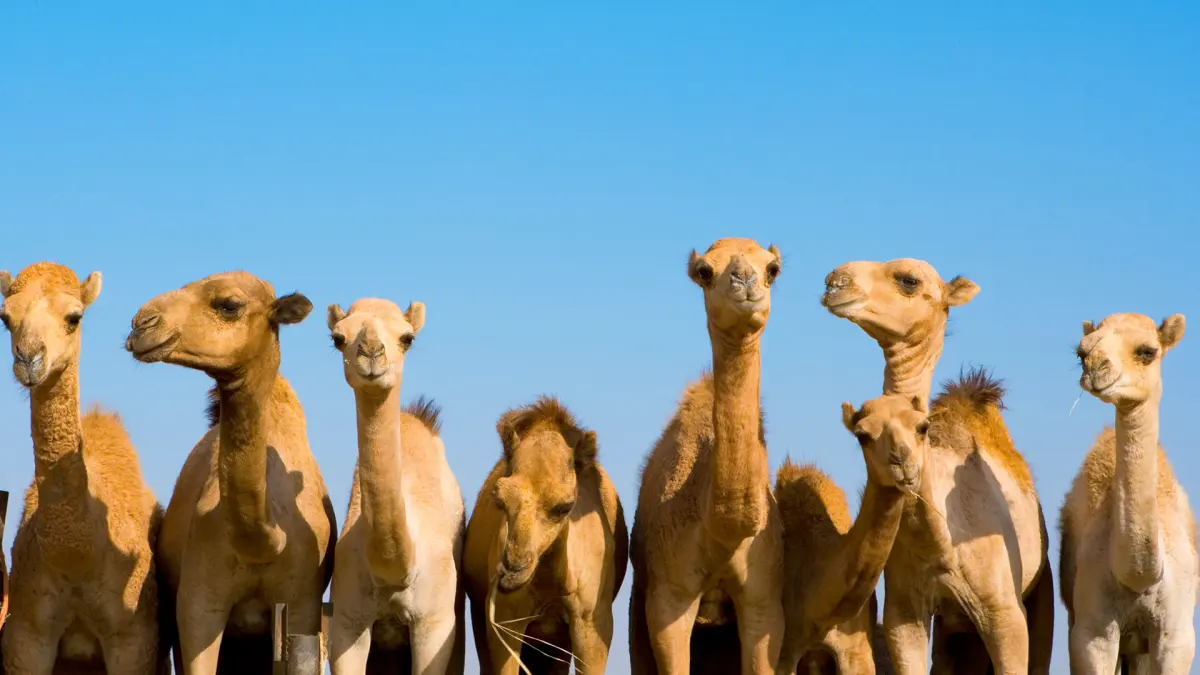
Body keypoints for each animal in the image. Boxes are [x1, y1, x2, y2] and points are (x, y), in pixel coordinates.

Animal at [0, 263, 165, 675]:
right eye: (5, 318)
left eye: (74, 318)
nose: (29, 359)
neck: (77, 556)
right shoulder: (26, 636)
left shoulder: (134, 638)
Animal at [324, 298, 466, 675]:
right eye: (338, 338)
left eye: (407, 338)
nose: (372, 352)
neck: (394, 572)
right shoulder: (347, 621)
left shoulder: (435, 622)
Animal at [629, 237, 785, 675]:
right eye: (704, 271)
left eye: (772, 269)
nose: (745, 280)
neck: (720, 532)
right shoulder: (669, 598)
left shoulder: (764, 601)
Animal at [1060, 312, 1197, 673]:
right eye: (1081, 352)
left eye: (1148, 351)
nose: (1094, 365)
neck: (1138, 576)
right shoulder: (1092, 633)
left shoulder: (1176, 635)